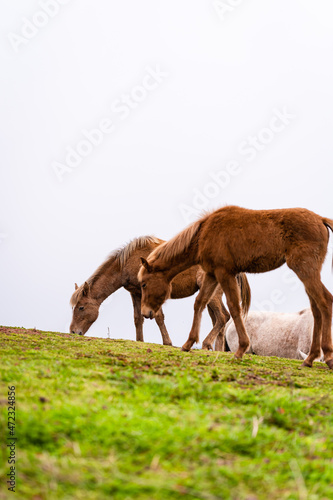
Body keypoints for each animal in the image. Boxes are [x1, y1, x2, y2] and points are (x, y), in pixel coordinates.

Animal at [69, 235, 249, 348]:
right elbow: (138, 319)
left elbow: (158, 317)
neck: (128, 262)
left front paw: (167, 342)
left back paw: (205, 344)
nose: (73, 331)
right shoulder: (135, 293)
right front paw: (140, 341)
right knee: (219, 320)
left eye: (81, 307)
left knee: (223, 317)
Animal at [137, 205, 332, 370]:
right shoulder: (212, 274)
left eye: (144, 283)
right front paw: (188, 344)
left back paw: (327, 357)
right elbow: (200, 302)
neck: (204, 234)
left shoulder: (225, 273)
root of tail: (320, 220)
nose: (145, 312)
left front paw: (240, 350)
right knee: (316, 309)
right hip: (307, 273)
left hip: (305, 270)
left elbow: (234, 308)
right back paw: (310, 359)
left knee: (325, 302)